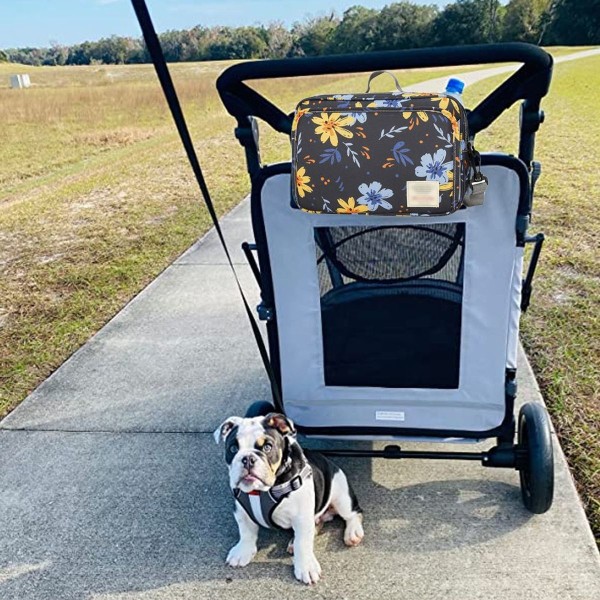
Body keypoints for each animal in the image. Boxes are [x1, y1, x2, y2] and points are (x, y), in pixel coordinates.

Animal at [216, 414, 366, 584]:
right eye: (233, 449)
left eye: (267, 447)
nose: (247, 458)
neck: (261, 491)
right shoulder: (241, 512)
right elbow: (246, 531)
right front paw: (242, 551)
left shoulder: (301, 517)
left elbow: (303, 543)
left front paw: (306, 567)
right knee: (316, 524)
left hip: (341, 497)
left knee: (353, 513)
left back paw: (353, 533)